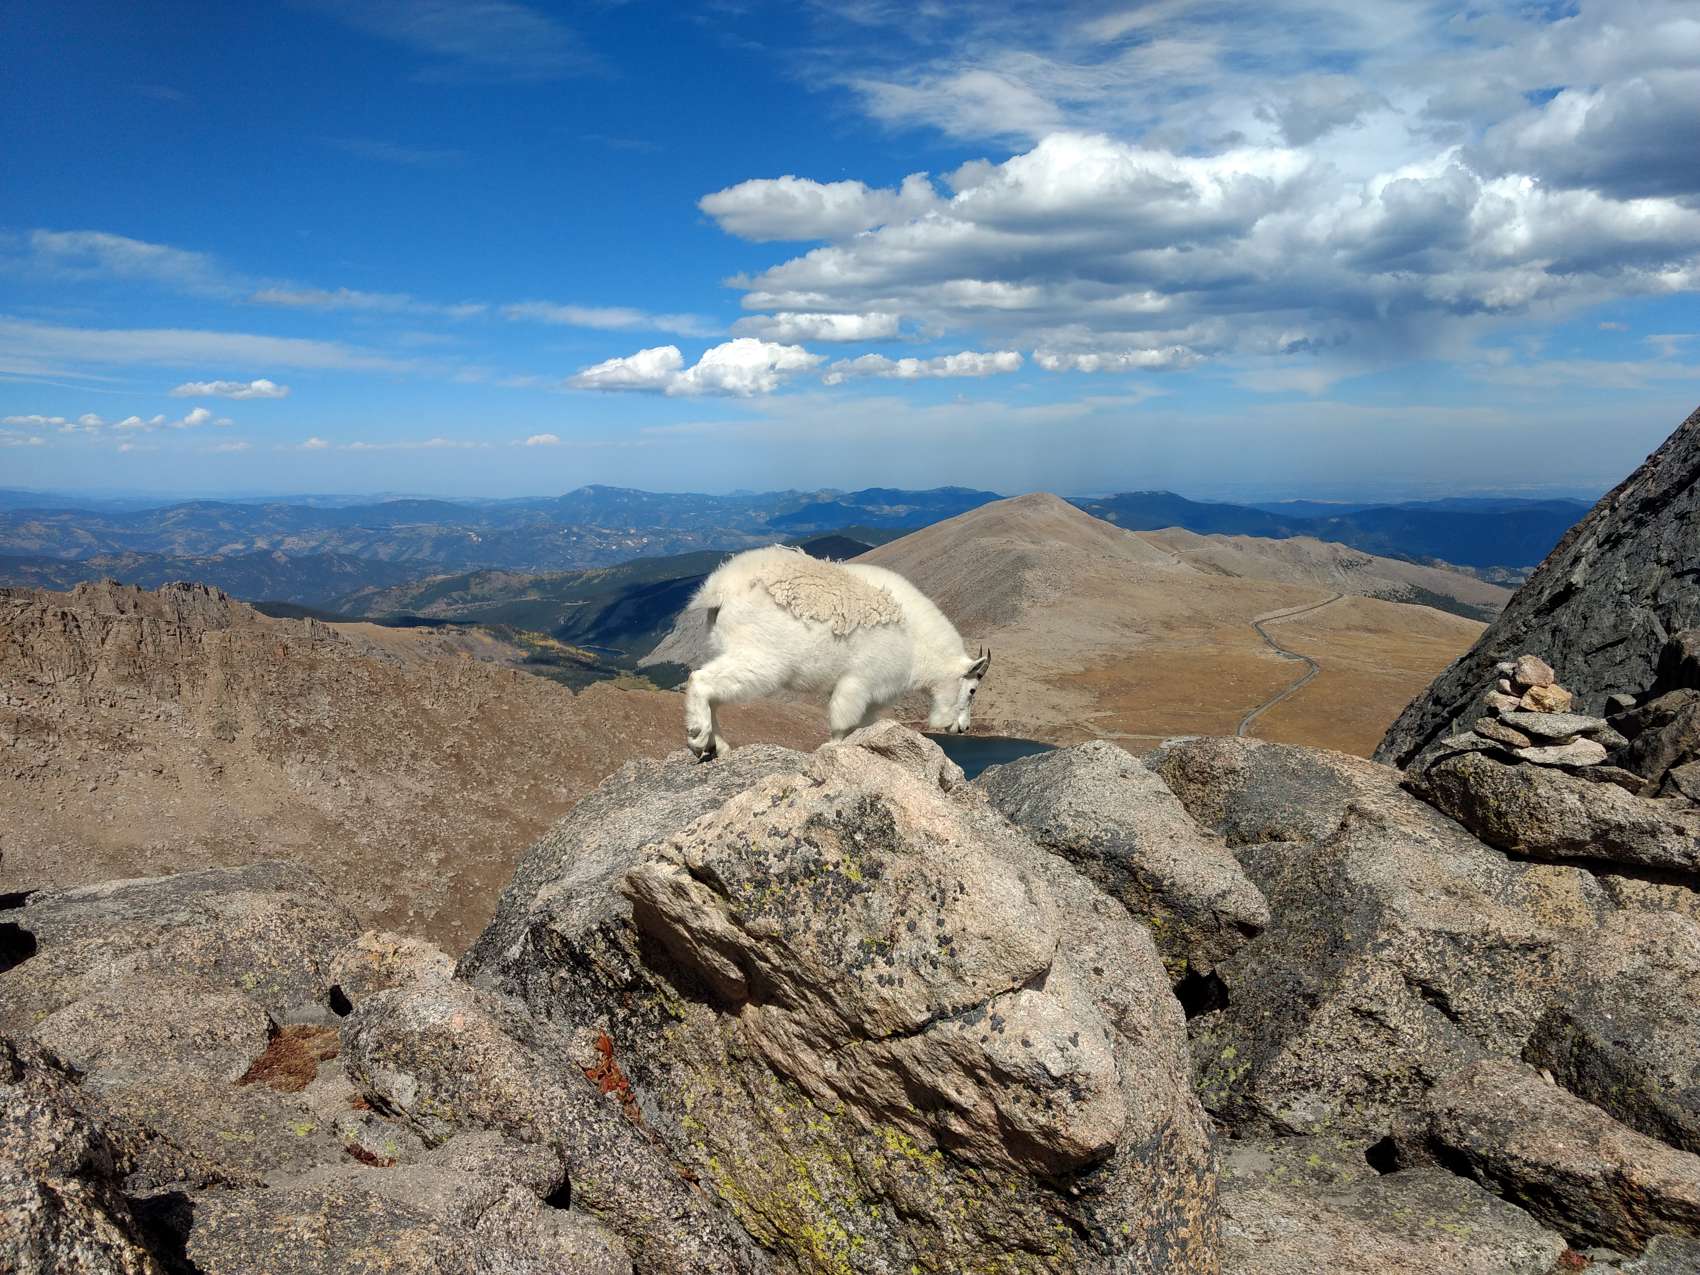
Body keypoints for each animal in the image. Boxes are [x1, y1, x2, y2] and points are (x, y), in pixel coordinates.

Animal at [682, 545, 991, 759]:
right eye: (972, 690)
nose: (963, 728)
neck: (916, 642)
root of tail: (719, 590)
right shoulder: (858, 681)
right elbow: (843, 723)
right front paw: (831, 749)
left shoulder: (870, 696)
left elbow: (861, 725)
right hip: (761, 659)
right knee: (701, 680)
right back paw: (698, 738)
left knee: (714, 694)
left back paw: (719, 746)